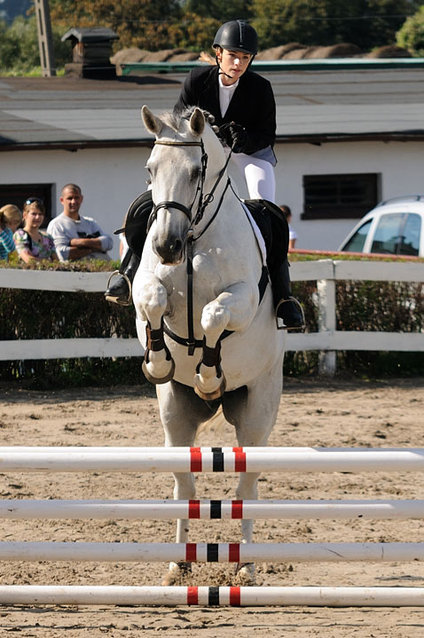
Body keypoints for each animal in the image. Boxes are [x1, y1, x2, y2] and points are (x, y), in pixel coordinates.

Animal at [132, 107, 284, 588]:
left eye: (197, 172)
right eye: (150, 170)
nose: (166, 246)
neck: (196, 237)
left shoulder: (242, 298)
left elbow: (212, 317)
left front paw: (209, 372)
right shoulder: (145, 285)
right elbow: (153, 300)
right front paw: (159, 360)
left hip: (257, 412)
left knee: (246, 487)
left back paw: (245, 565)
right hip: (175, 416)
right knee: (185, 485)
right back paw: (177, 564)